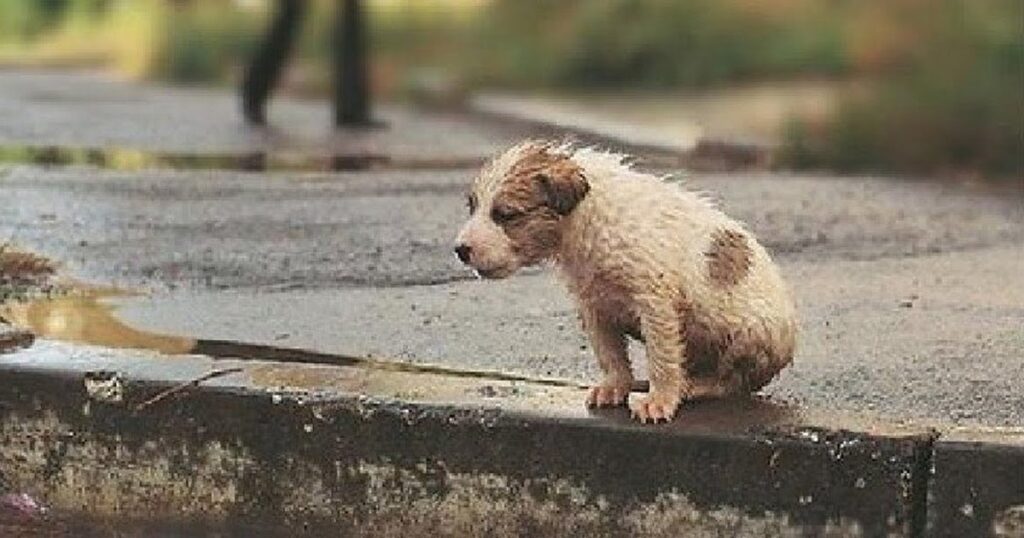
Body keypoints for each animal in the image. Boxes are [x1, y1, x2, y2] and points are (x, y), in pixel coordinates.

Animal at [456, 140, 798, 422]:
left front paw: (660, 400)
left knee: (732, 381)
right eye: (472, 207)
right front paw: (615, 386)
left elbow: (662, 357)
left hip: (749, 336)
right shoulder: (594, 305)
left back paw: (694, 386)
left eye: (506, 215)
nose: (460, 250)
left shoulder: (655, 301)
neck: (585, 217)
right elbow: (610, 354)